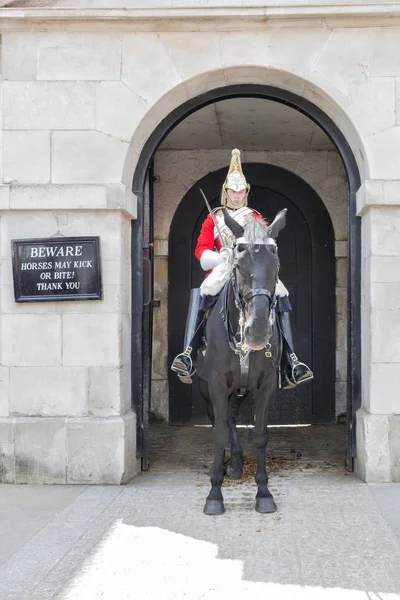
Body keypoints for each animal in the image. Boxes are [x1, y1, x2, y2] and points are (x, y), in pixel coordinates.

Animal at [195, 207, 286, 516]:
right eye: (237, 264)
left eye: (276, 265)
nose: (257, 332)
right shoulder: (215, 383)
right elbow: (218, 434)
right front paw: (214, 495)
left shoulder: (265, 385)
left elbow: (260, 435)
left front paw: (263, 493)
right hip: (209, 388)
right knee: (220, 420)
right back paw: (226, 466)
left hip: (240, 389)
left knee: (233, 416)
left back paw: (235, 463)